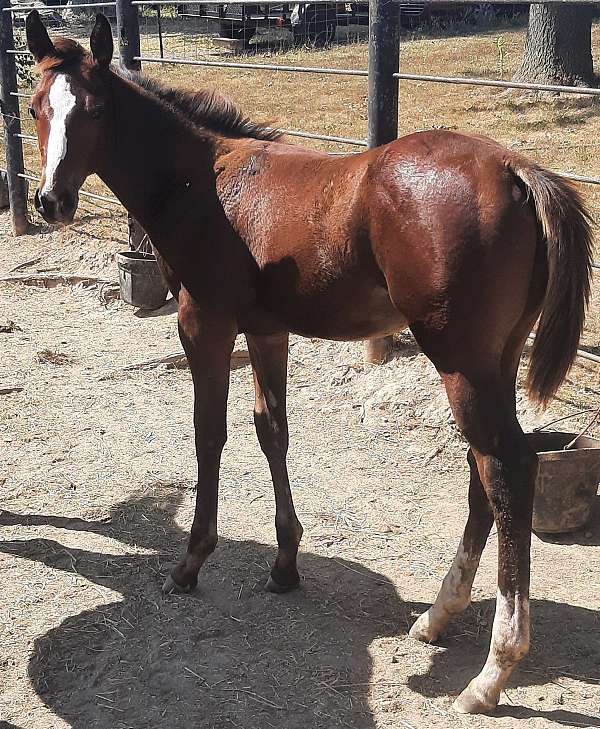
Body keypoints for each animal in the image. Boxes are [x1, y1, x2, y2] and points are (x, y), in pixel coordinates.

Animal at [25, 11, 593, 714]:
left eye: (96, 110)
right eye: (35, 106)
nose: (49, 201)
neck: (204, 181)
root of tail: (517, 168)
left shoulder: (203, 322)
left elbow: (209, 432)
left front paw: (190, 563)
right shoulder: (268, 332)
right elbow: (273, 432)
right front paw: (285, 565)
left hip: (461, 361)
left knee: (506, 468)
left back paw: (492, 671)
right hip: (494, 360)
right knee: (483, 468)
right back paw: (437, 617)